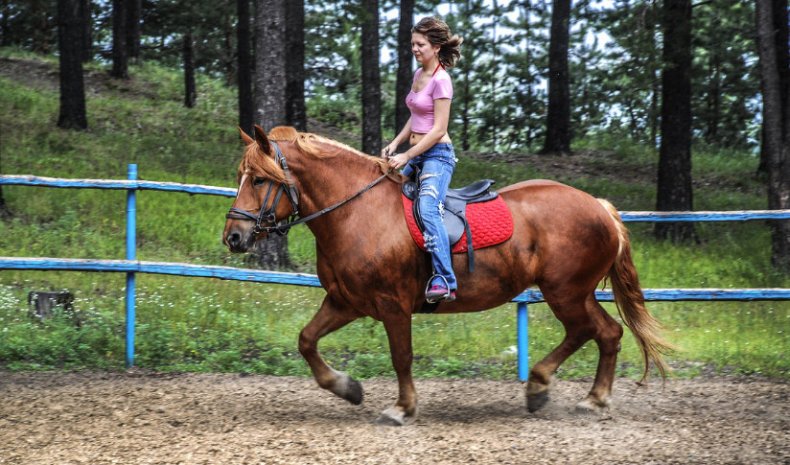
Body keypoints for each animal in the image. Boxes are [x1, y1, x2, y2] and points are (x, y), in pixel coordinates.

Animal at [224, 124, 676, 424]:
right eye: (240, 176)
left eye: (260, 179)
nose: (233, 236)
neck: (356, 213)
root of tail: (600, 207)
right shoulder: (346, 301)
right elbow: (306, 341)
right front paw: (348, 388)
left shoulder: (392, 304)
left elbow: (401, 356)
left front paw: (402, 408)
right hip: (574, 292)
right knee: (606, 334)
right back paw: (584, 397)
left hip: (565, 291)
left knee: (592, 331)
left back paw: (549, 389)